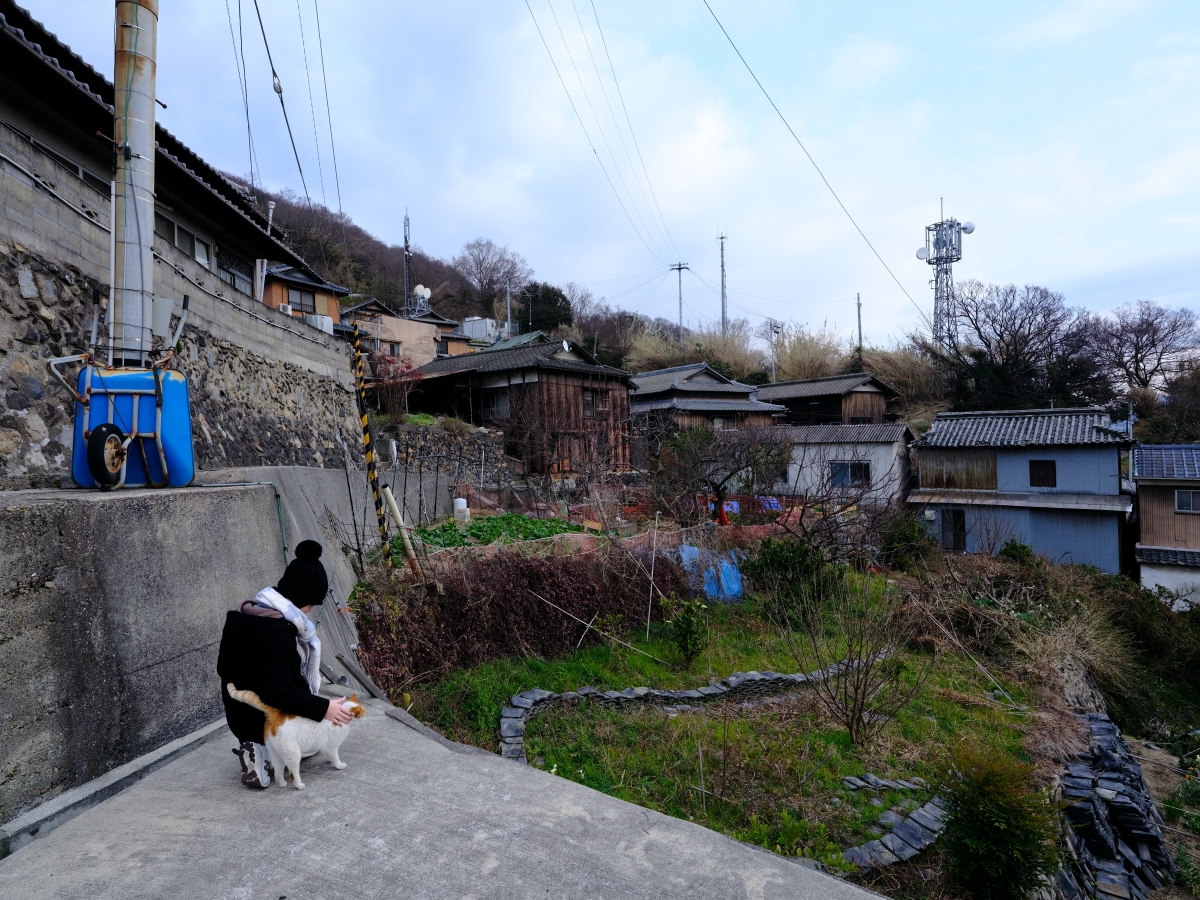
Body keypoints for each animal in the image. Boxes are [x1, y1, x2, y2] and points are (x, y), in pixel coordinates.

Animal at [225, 686, 364, 792]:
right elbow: (335, 758)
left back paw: (281, 784)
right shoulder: (331, 747)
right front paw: (339, 765)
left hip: (276, 753)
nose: (364, 716)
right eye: (362, 713)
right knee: (293, 773)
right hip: (293, 753)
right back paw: (299, 785)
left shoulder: (326, 748)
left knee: (278, 772)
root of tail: (276, 715)